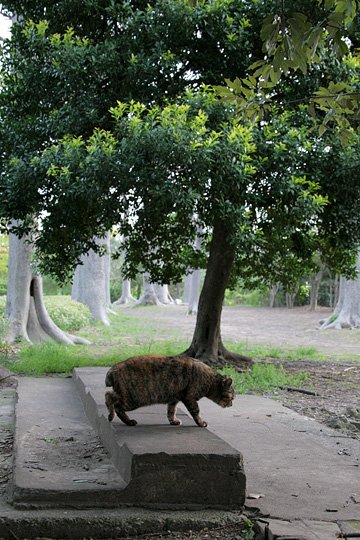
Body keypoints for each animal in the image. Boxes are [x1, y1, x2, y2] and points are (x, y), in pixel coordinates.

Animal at [105, 354, 233, 426]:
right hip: (134, 398)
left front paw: (173, 421)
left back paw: (110, 415)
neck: (210, 380)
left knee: (108, 395)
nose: (231, 404)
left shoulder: (174, 398)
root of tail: (113, 369)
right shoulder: (190, 397)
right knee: (117, 406)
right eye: (231, 397)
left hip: (124, 394)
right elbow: (196, 411)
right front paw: (201, 423)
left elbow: (171, 411)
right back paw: (128, 421)